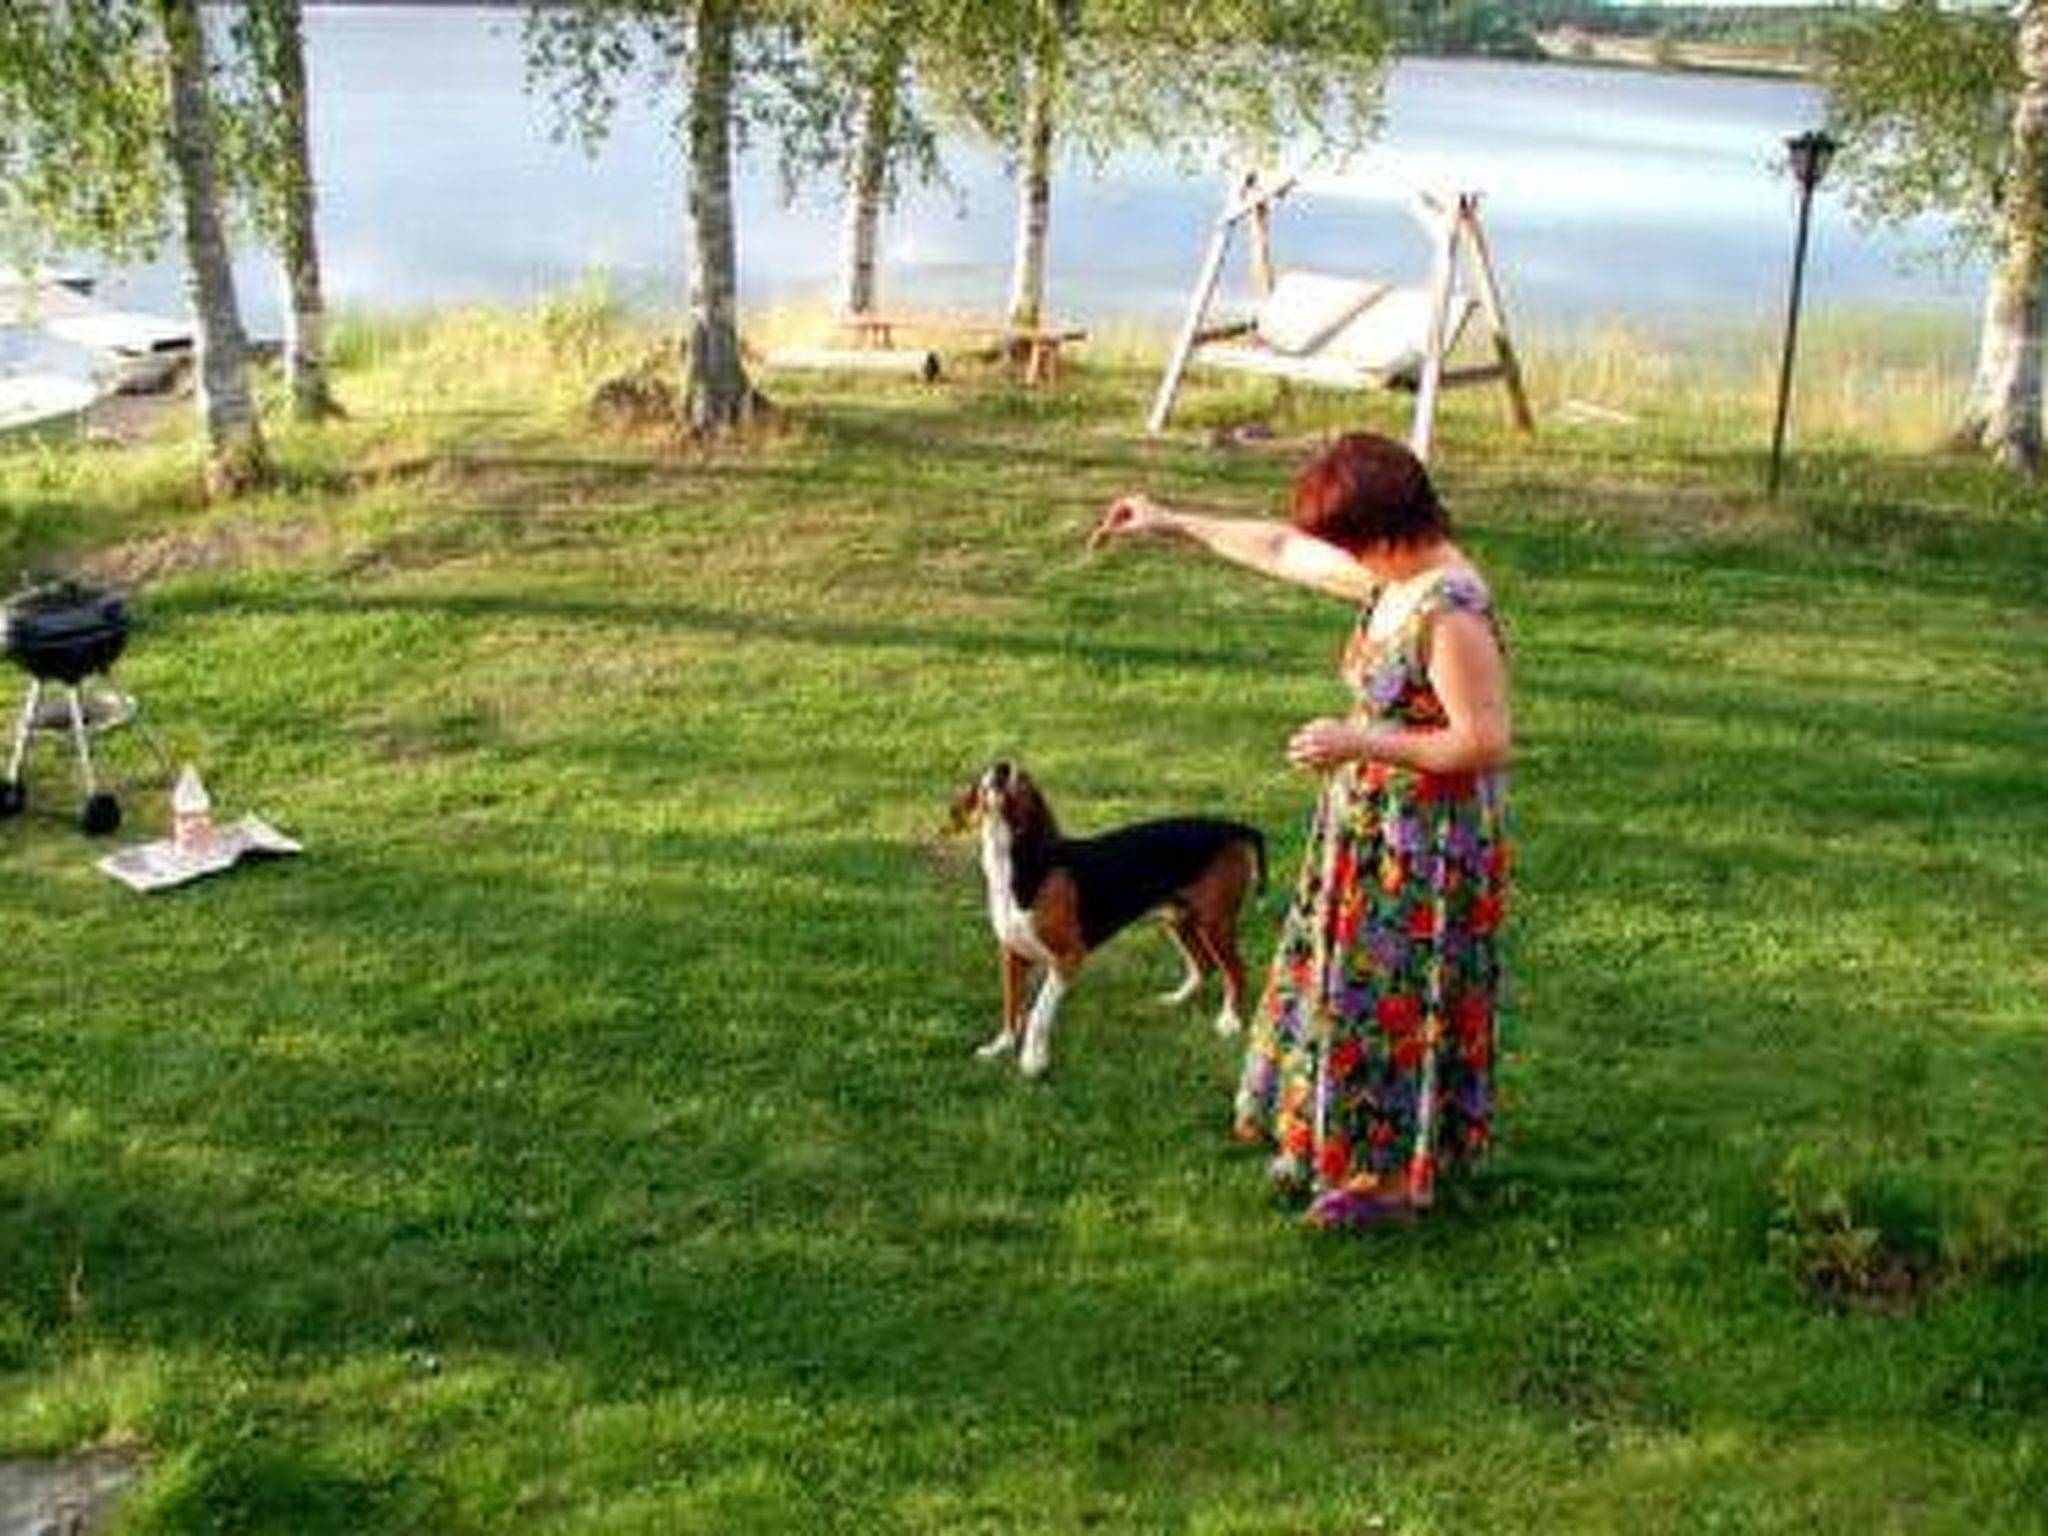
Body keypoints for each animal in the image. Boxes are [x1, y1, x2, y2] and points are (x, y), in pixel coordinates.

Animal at [948, 760, 1265, 1077]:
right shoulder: (1012, 954)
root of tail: (1234, 828)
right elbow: (1011, 1007)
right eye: (987, 770)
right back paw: (1177, 1000)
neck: (1018, 863)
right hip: (1178, 920)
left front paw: (1033, 1059)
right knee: (1204, 965)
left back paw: (1230, 1021)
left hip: (1214, 924)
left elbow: (1038, 1011)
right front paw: (1000, 1047)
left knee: (1236, 972)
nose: (1002, 768)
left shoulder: (1068, 957)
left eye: (1023, 777)